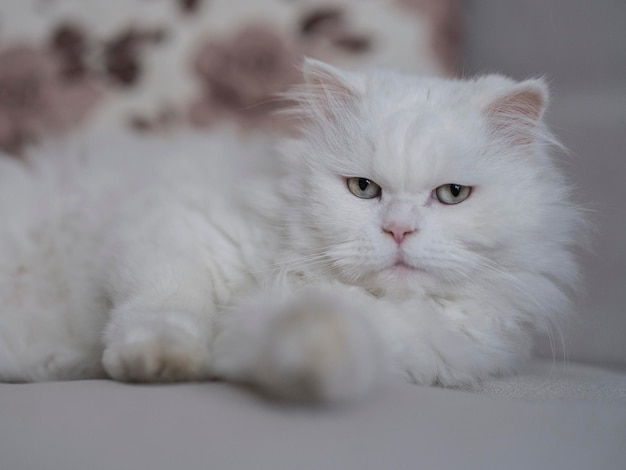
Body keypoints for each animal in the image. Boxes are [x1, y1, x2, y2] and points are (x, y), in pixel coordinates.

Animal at [0, 59, 580, 400]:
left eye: (452, 194)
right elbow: (165, 311)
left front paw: (308, 360)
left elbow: (310, 338)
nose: (398, 231)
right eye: (364, 188)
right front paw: (158, 363)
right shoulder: (171, 231)